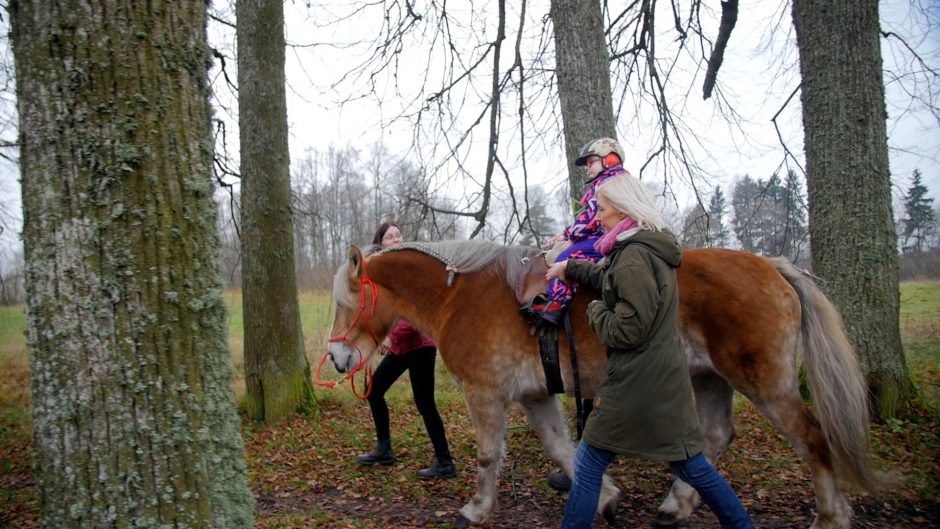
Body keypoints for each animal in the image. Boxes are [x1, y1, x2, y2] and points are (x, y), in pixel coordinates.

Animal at [324, 240, 880, 528]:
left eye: (347, 304)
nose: (335, 357)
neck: (459, 297)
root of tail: (774, 265)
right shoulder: (535, 397)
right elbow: (563, 448)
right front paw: (606, 497)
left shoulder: (487, 395)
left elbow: (487, 457)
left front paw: (477, 509)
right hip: (710, 378)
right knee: (717, 436)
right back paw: (677, 503)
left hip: (765, 382)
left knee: (813, 440)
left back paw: (830, 516)